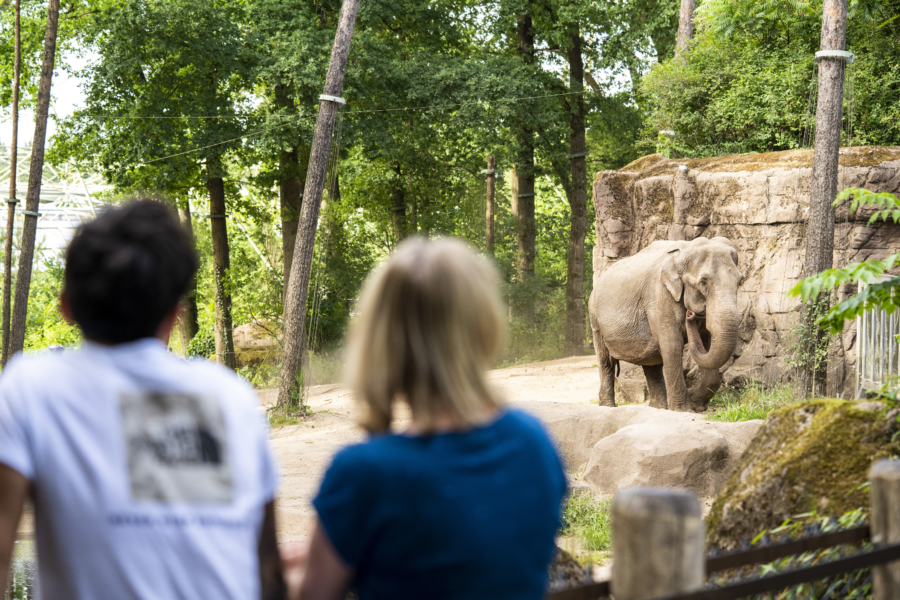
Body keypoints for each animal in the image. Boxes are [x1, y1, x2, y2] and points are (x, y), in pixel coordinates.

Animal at [588, 237, 740, 410]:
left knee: (650, 362)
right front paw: (683, 409)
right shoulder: (659, 298)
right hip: (595, 319)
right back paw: (608, 407)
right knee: (606, 361)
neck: (683, 251)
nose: (691, 314)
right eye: (703, 282)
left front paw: (695, 405)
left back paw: (658, 408)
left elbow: (707, 346)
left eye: (739, 282)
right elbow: (672, 345)